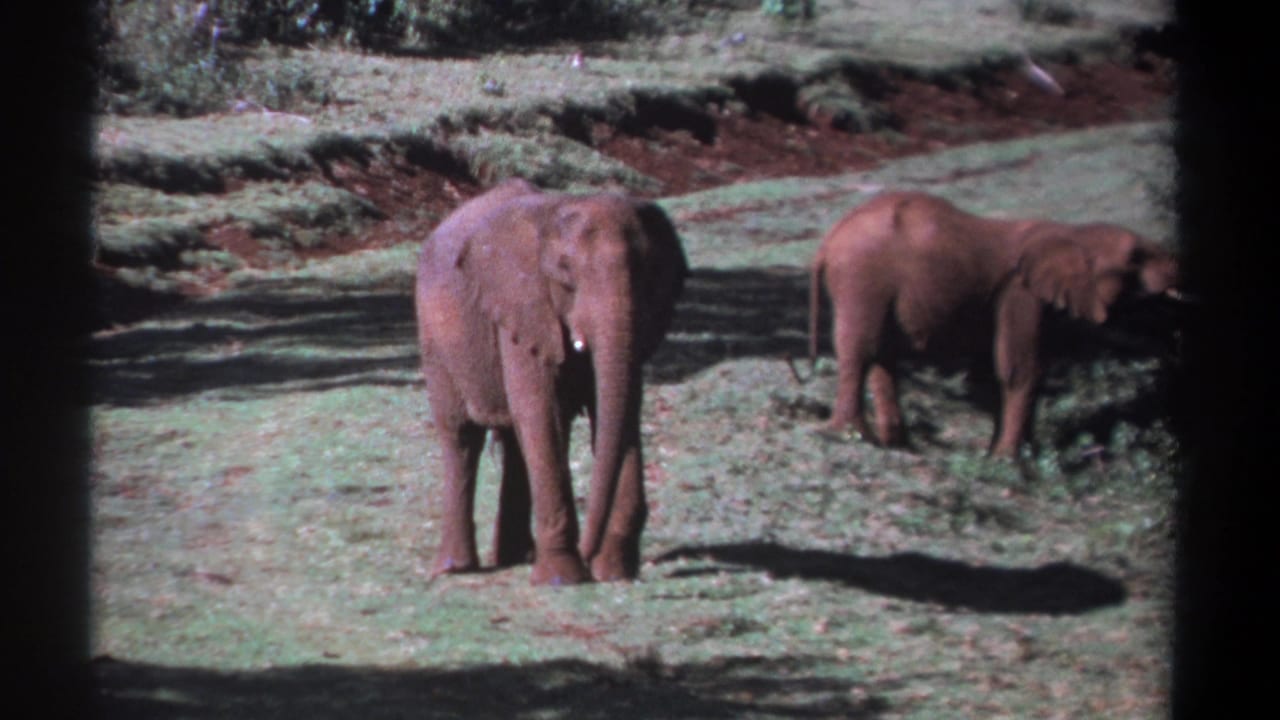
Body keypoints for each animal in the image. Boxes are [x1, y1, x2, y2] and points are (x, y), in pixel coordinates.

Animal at [415, 178, 688, 585]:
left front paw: (614, 572)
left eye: (647, 271)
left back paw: (516, 556)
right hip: (436, 341)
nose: (590, 555)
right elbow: (541, 412)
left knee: (513, 440)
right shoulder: (521, 305)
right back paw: (456, 569)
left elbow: (619, 410)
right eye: (564, 273)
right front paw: (564, 578)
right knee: (462, 437)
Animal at [808, 190, 1180, 457]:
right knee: (861, 350)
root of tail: (829, 239)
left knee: (883, 355)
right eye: (1135, 259)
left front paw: (1011, 454)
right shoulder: (1020, 294)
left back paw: (897, 445)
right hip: (862, 277)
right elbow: (1021, 369)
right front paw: (1010, 461)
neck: (1072, 234)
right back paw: (852, 436)